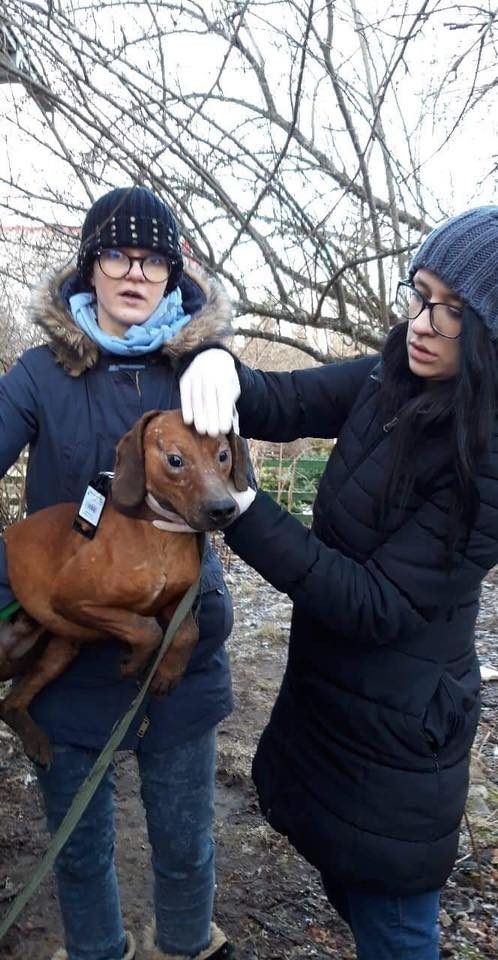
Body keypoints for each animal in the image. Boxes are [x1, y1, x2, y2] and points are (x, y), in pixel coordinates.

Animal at [0, 410, 248, 764]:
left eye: (223, 456)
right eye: (175, 460)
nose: (223, 509)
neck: (158, 534)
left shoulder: (174, 601)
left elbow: (188, 632)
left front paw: (167, 674)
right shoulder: (73, 600)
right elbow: (146, 628)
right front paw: (133, 664)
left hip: (59, 654)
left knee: (10, 704)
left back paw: (34, 739)